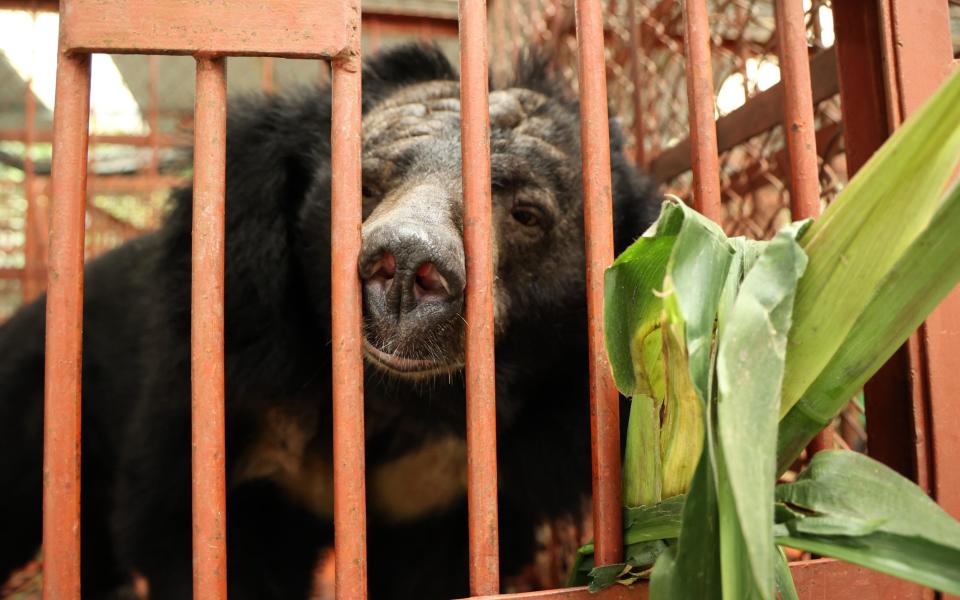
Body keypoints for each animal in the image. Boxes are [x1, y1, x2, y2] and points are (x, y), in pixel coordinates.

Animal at [0, 45, 656, 600]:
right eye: (364, 186)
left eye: (526, 214)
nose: (406, 265)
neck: (393, 401)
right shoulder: (237, 377)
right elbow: (187, 533)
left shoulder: (449, 490)